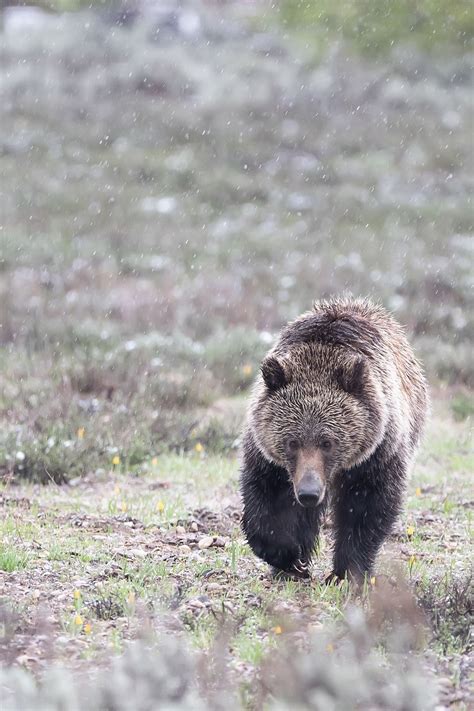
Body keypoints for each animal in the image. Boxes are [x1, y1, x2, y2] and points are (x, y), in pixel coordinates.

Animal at [239, 298, 428, 584]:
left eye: (328, 442)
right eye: (292, 442)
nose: (309, 492)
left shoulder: (377, 452)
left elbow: (365, 507)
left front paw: (347, 572)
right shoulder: (268, 455)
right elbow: (267, 499)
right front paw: (288, 557)